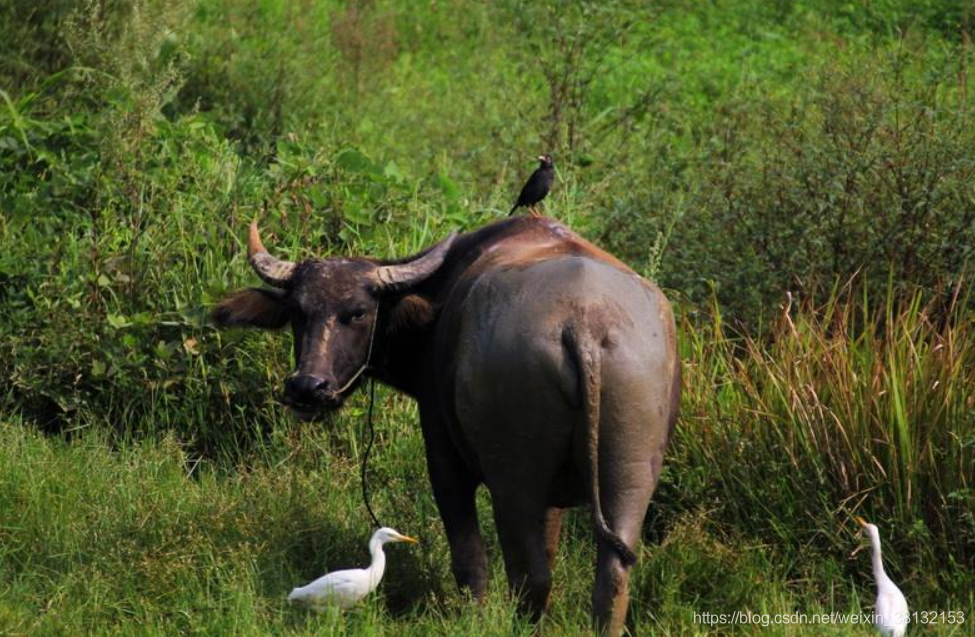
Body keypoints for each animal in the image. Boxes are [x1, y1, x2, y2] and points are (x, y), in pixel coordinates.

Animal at [215, 215, 680, 632]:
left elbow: (469, 556)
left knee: (527, 573)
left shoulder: (442, 454)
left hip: (512, 477)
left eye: (359, 312)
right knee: (611, 575)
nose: (307, 387)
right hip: (630, 473)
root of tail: (583, 322)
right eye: (297, 311)